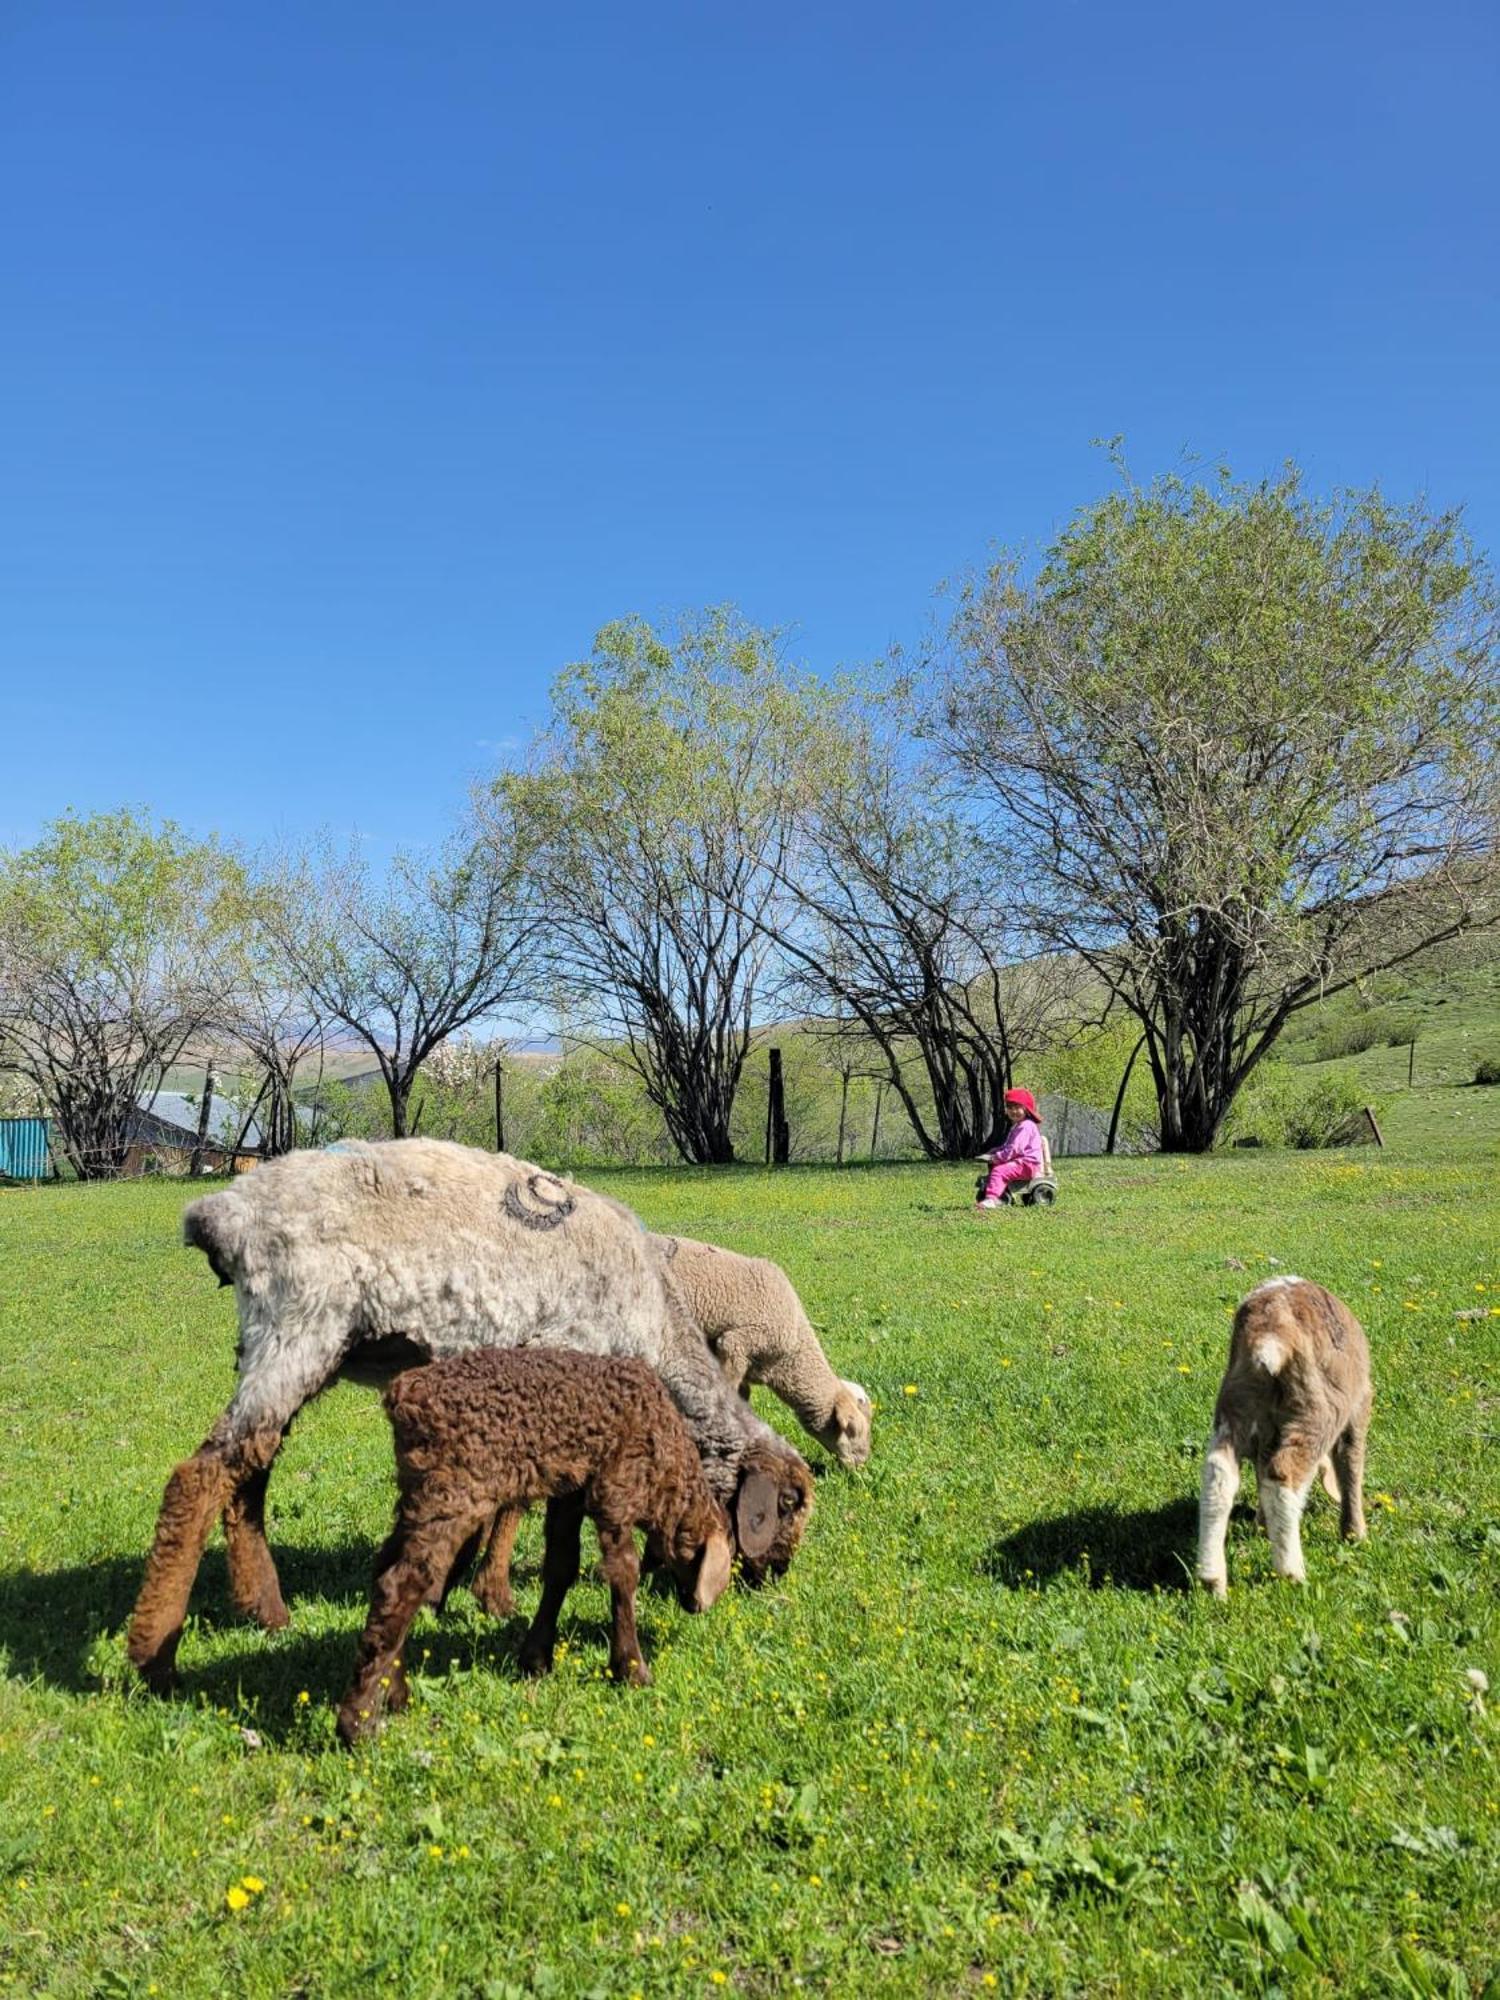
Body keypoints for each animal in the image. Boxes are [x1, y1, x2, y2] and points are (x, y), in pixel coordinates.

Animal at [128, 1144, 812, 1688]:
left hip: (287, 1343)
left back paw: (265, 1611)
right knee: (200, 1476)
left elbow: (508, 1504)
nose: (772, 1576)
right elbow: (525, 1509)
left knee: (249, 1468)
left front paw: (466, 1583)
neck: (654, 1324)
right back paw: (155, 1656)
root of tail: (223, 1211)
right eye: (784, 1506)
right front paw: (493, 1596)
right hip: (299, 1321)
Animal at [336, 1352, 736, 1744]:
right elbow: (624, 1572)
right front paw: (632, 1669)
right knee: (401, 1586)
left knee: (385, 1571)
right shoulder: (616, 1487)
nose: (694, 1605)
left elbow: (561, 1566)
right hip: (454, 1489)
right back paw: (359, 1724)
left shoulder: (570, 1492)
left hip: (417, 1492)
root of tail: (403, 1395)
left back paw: (396, 1694)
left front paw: (536, 1657)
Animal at [1200, 1280, 1376, 1592]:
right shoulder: (1359, 1408)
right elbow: (1351, 1467)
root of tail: (1269, 1336)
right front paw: (1355, 1534)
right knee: (1285, 1477)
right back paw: (1291, 1572)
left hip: (1235, 1405)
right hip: (1313, 1411)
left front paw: (1261, 1526)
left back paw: (1213, 1579)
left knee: (1219, 1472)